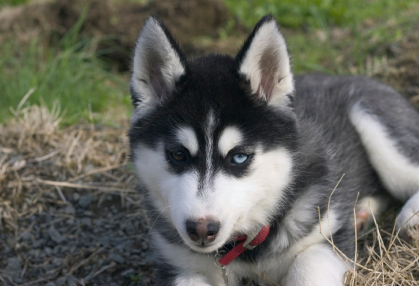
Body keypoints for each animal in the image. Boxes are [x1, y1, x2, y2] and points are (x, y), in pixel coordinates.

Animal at [128, 15, 419, 286]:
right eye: (178, 155)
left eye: (239, 157)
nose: (201, 230)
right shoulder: (177, 265)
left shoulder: (328, 240)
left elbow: (306, 267)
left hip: (374, 122)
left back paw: (409, 219)